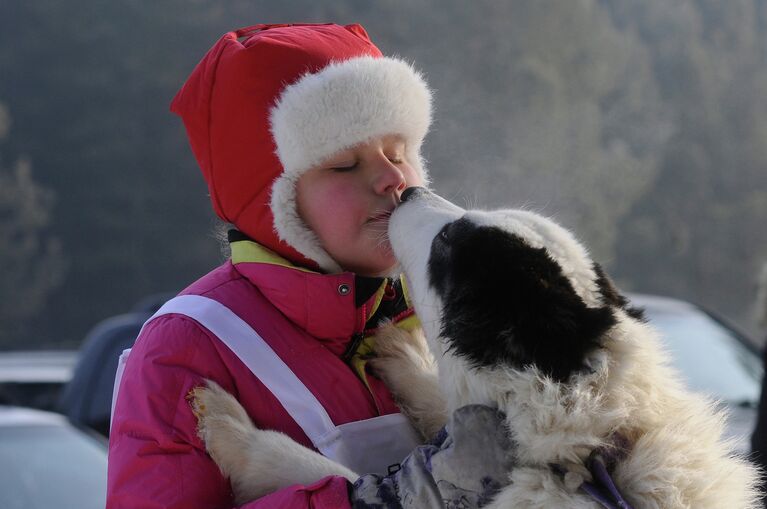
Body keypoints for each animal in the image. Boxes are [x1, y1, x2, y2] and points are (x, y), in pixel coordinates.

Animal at [189, 188, 760, 508]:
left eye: (447, 239)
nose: (408, 189)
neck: (587, 456)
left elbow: (333, 476)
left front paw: (232, 431)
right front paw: (402, 354)